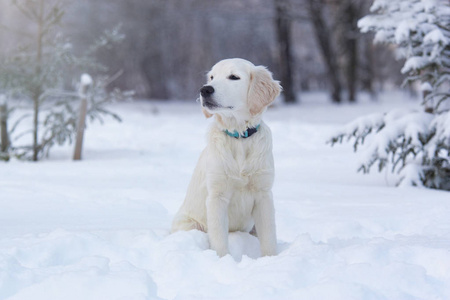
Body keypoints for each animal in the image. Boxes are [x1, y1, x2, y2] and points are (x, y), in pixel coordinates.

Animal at [172, 59, 282, 258]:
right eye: (212, 77)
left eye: (233, 77)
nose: (204, 90)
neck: (239, 136)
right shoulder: (217, 196)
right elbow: (219, 238)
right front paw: (223, 260)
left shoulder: (263, 194)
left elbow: (269, 237)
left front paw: (271, 259)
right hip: (191, 224)